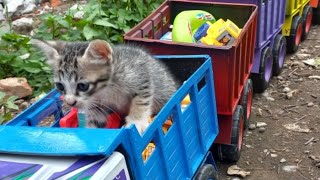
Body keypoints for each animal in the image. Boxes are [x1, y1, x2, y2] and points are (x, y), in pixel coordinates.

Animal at [30, 39, 178, 135]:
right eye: (60, 85)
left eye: (82, 86)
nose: (70, 102)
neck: (105, 89)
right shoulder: (96, 104)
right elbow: (96, 119)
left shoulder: (141, 77)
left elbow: (141, 101)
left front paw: (136, 122)